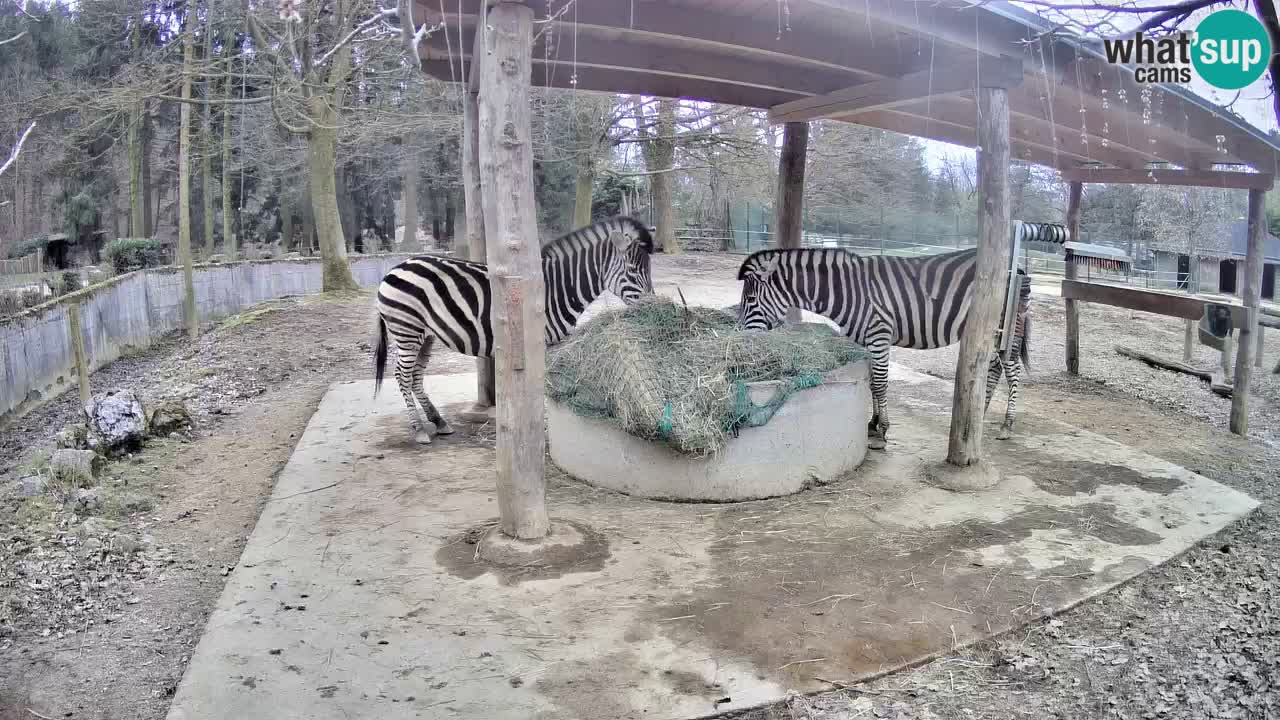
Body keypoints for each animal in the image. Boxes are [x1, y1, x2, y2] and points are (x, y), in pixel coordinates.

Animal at [368, 212, 650, 443]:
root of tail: (394, 268)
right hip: (407, 329)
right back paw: (418, 429)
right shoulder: (540, 342)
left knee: (416, 375)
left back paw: (438, 422)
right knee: (402, 375)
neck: (556, 288)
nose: (651, 305)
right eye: (633, 270)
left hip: (426, 335)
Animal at [737, 221, 1064, 448]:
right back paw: (979, 414)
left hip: (1007, 327)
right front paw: (872, 423)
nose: (740, 336)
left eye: (750, 299)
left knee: (1012, 370)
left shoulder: (879, 333)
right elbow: (871, 382)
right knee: (995, 368)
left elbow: (881, 383)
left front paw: (882, 430)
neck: (848, 290)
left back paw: (1007, 424)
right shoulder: (866, 339)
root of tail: (1017, 266)